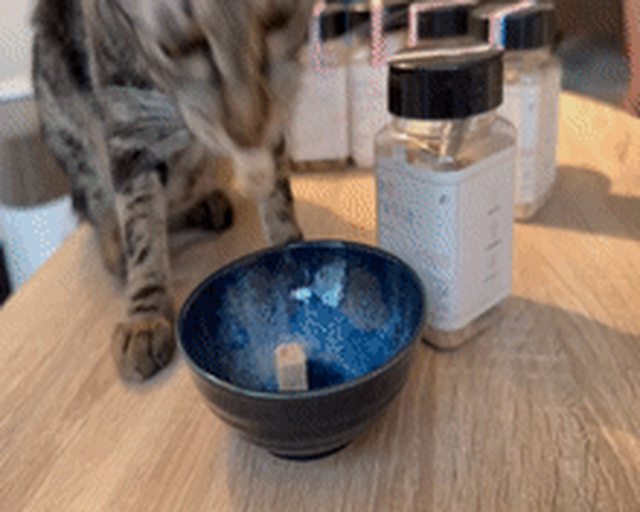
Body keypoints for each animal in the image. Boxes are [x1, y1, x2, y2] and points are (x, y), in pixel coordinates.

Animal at [32, 0, 315, 382]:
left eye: (278, 18)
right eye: (179, 45)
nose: (246, 127)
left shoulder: (276, 105)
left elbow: (277, 193)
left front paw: (290, 251)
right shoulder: (124, 116)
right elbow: (141, 229)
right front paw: (145, 314)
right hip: (63, 112)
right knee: (100, 205)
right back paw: (116, 242)